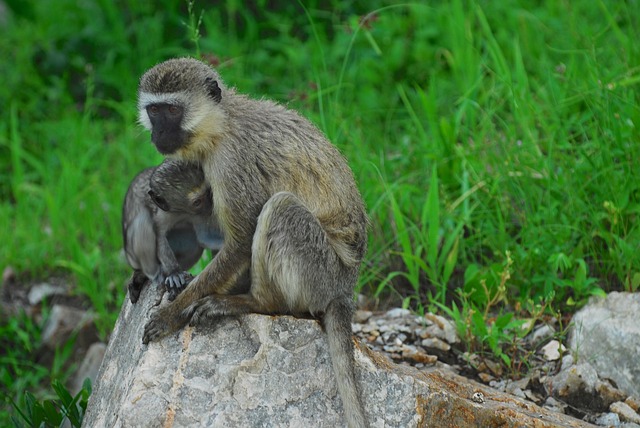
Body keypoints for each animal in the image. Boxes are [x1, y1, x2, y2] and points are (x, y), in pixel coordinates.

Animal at [122, 159, 222, 302]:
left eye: (208, 191)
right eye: (197, 202)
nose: (211, 205)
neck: (180, 212)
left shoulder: (197, 215)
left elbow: (204, 237)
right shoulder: (162, 214)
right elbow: (159, 237)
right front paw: (174, 272)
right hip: (133, 257)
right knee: (142, 221)